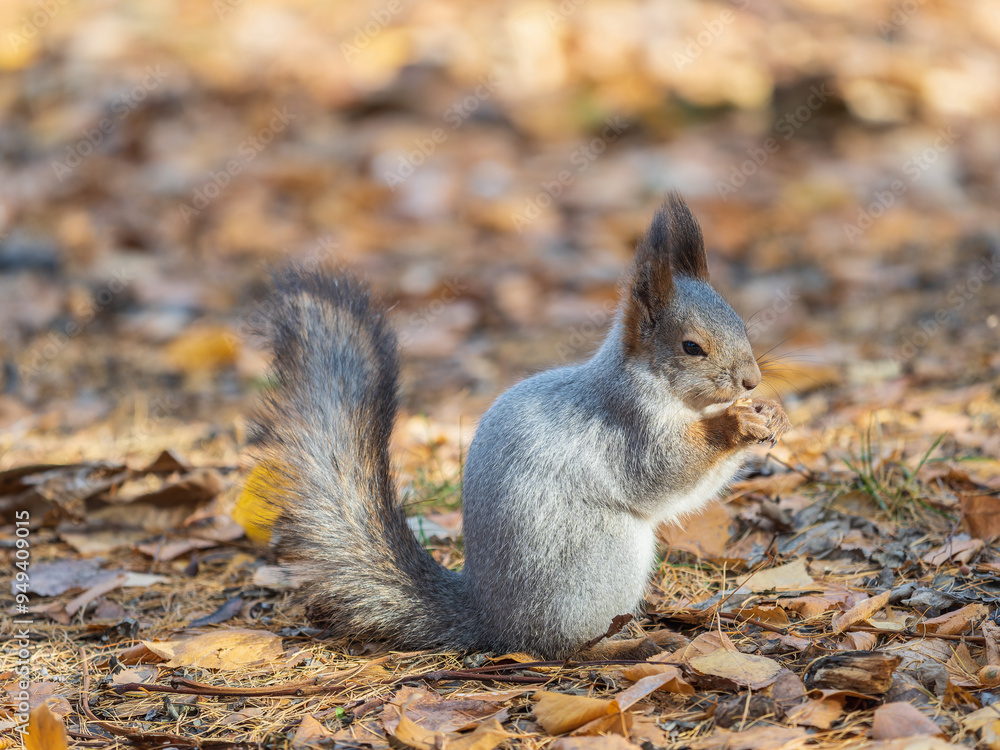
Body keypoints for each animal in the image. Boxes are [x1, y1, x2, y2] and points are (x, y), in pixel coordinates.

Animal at [248, 195, 788, 664]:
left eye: (739, 322)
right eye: (691, 347)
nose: (750, 380)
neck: (655, 386)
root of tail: (490, 618)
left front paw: (772, 412)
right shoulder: (629, 427)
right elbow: (665, 477)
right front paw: (736, 423)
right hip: (598, 559)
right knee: (566, 648)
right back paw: (632, 645)